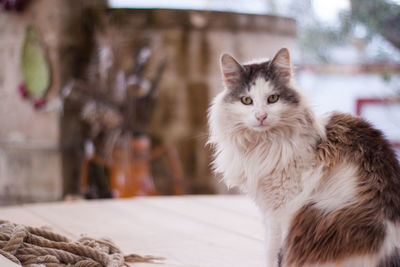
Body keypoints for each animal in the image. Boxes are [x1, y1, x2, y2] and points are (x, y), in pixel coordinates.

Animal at [208, 48, 400, 267]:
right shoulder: (267, 209)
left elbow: (272, 251)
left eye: (273, 98)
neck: (264, 143)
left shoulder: (280, 209)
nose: (261, 116)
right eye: (246, 100)